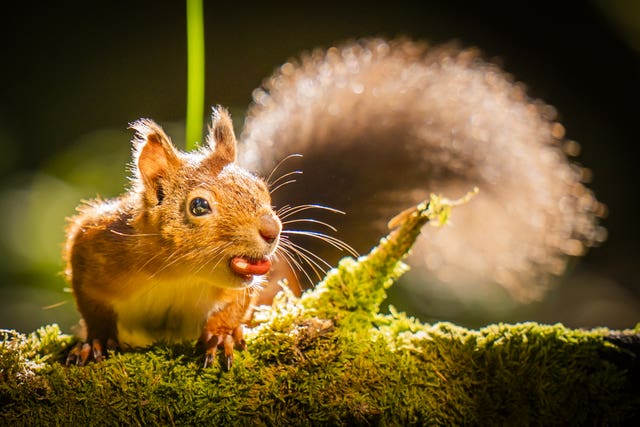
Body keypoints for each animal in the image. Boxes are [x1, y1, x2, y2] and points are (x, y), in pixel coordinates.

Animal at [62, 38, 604, 368]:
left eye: (262, 189)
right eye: (198, 207)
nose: (272, 231)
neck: (177, 275)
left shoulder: (247, 285)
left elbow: (236, 304)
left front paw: (222, 334)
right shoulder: (92, 245)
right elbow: (90, 299)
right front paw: (94, 340)